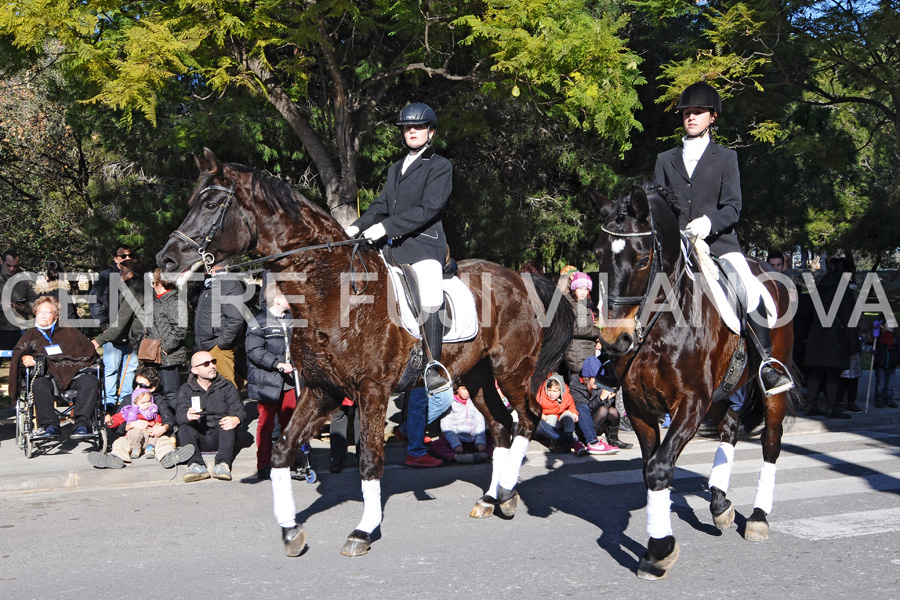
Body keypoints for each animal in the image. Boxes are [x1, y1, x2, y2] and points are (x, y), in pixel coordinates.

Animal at [157, 149, 572, 556]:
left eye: (211, 204)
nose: (166, 261)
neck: (332, 291)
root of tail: (521, 279)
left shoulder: (371, 390)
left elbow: (371, 460)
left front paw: (363, 531)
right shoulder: (321, 389)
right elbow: (282, 449)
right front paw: (291, 530)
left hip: (511, 370)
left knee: (528, 419)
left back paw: (506, 491)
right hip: (477, 374)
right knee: (501, 425)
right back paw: (491, 498)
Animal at [596, 185, 800, 580]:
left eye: (642, 260)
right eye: (599, 255)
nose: (614, 341)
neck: (662, 324)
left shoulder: (690, 402)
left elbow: (659, 469)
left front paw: (660, 550)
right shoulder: (639, 406)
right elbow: (649, 468)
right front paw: (655, 548)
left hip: (767, 391)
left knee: (771, 441)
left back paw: (758, 518)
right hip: (720, 394)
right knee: (730, 427)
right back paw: (720, 504)